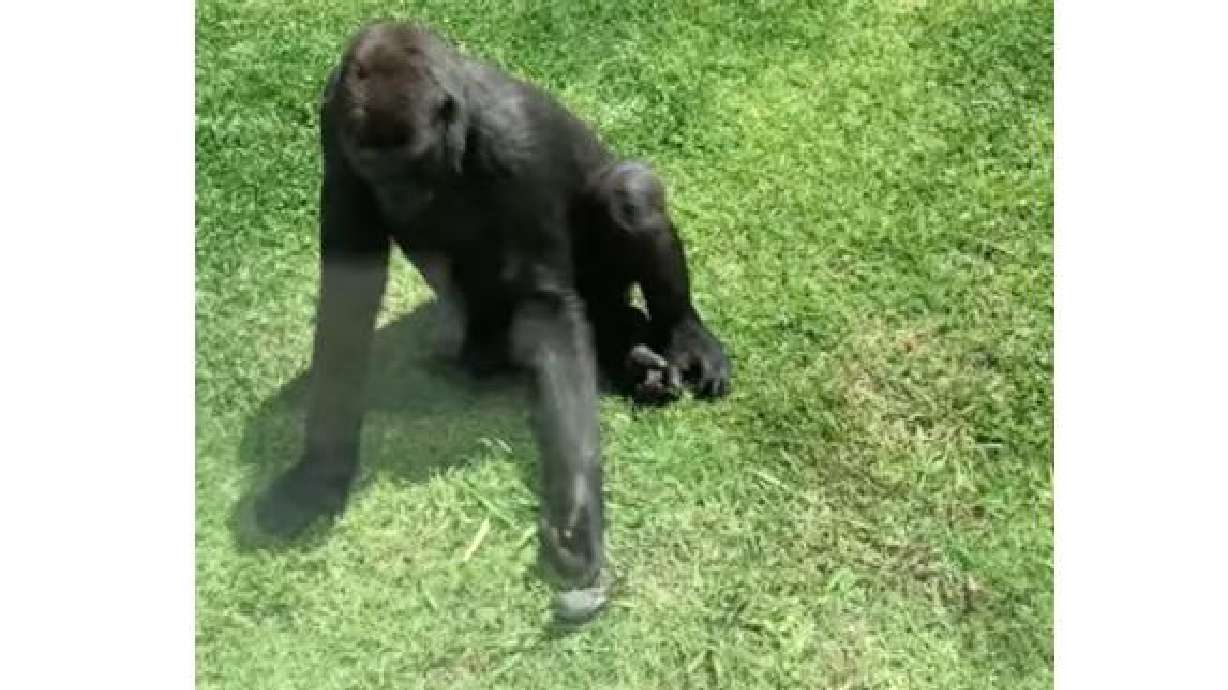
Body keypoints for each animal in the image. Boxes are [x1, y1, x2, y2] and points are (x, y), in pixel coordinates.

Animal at [254, 21, 731, 621]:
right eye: (372, 166)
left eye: (411, 162)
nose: (394, 195)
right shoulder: (335, 132)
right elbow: (347, 294)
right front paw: (319, 472)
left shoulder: (513, 142)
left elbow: (547, 303)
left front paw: (576, 511)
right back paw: (626, 359)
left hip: (607, 278)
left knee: (628, 193)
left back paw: (681, 333)